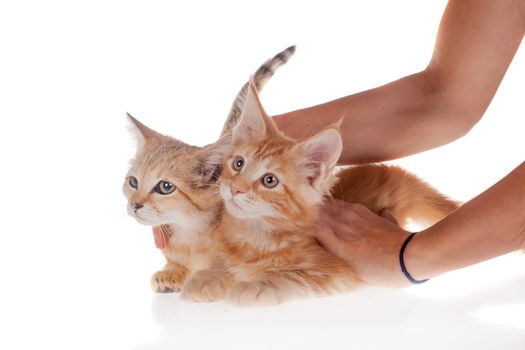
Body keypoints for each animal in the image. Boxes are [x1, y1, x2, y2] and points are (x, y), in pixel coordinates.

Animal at [182, 78, 456, 304]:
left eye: (270, 180)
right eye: (238, 163)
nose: (235, 189)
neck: (253, 236)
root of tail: (393, 172)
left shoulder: (335, 272)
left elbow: (293, 277)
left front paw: (256, 286)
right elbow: (223, 263)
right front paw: (209, 277)